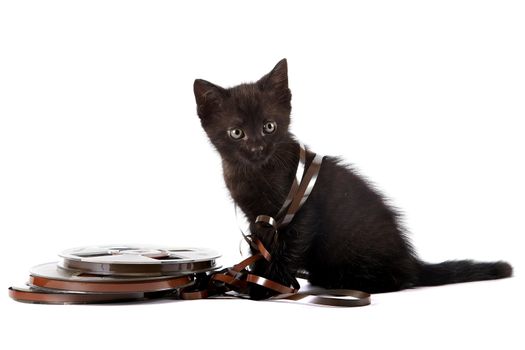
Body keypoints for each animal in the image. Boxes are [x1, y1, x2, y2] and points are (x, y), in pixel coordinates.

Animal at [193, 59, 512, 298]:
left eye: (269, 126)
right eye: (237, 133)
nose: (258, 147)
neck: (256, 172)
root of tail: (410, 261)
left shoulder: (301, 213)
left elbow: (287, 250)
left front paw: (269, 287)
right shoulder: (256, 218)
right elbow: (259, 250)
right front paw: (255, 279)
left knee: (396, 280)